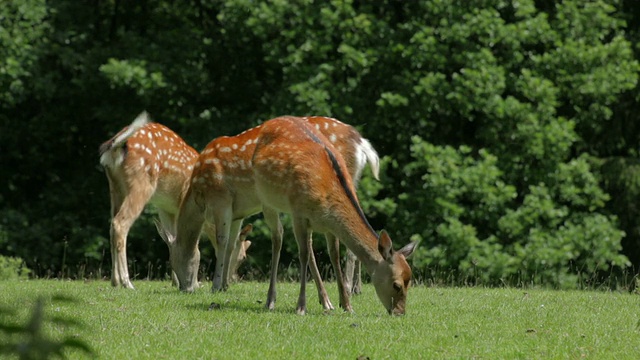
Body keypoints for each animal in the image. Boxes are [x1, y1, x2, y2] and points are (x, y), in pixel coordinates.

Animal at [160, 115, 380, 312]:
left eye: (173, 260)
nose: (184, 288)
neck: (198, 195)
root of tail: (362, 144)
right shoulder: (238, 211)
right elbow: (231, 244)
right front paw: (224, 285)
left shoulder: (221, 197)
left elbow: (222, 241)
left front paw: (216, 284)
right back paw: (339, 296)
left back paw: (348, 290)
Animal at [250, 116, 420, 316]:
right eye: (396, 285)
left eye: (410, 282)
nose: (400, 312)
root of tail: (269, 122)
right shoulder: (299, 213)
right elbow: (303, 255)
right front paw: (301, 306)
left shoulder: (329, 226)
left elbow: (334, 256)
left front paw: (346, 305)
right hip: (266, 199)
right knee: (278, 239)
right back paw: (270, 300)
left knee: (302, 245)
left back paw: (325, 301)